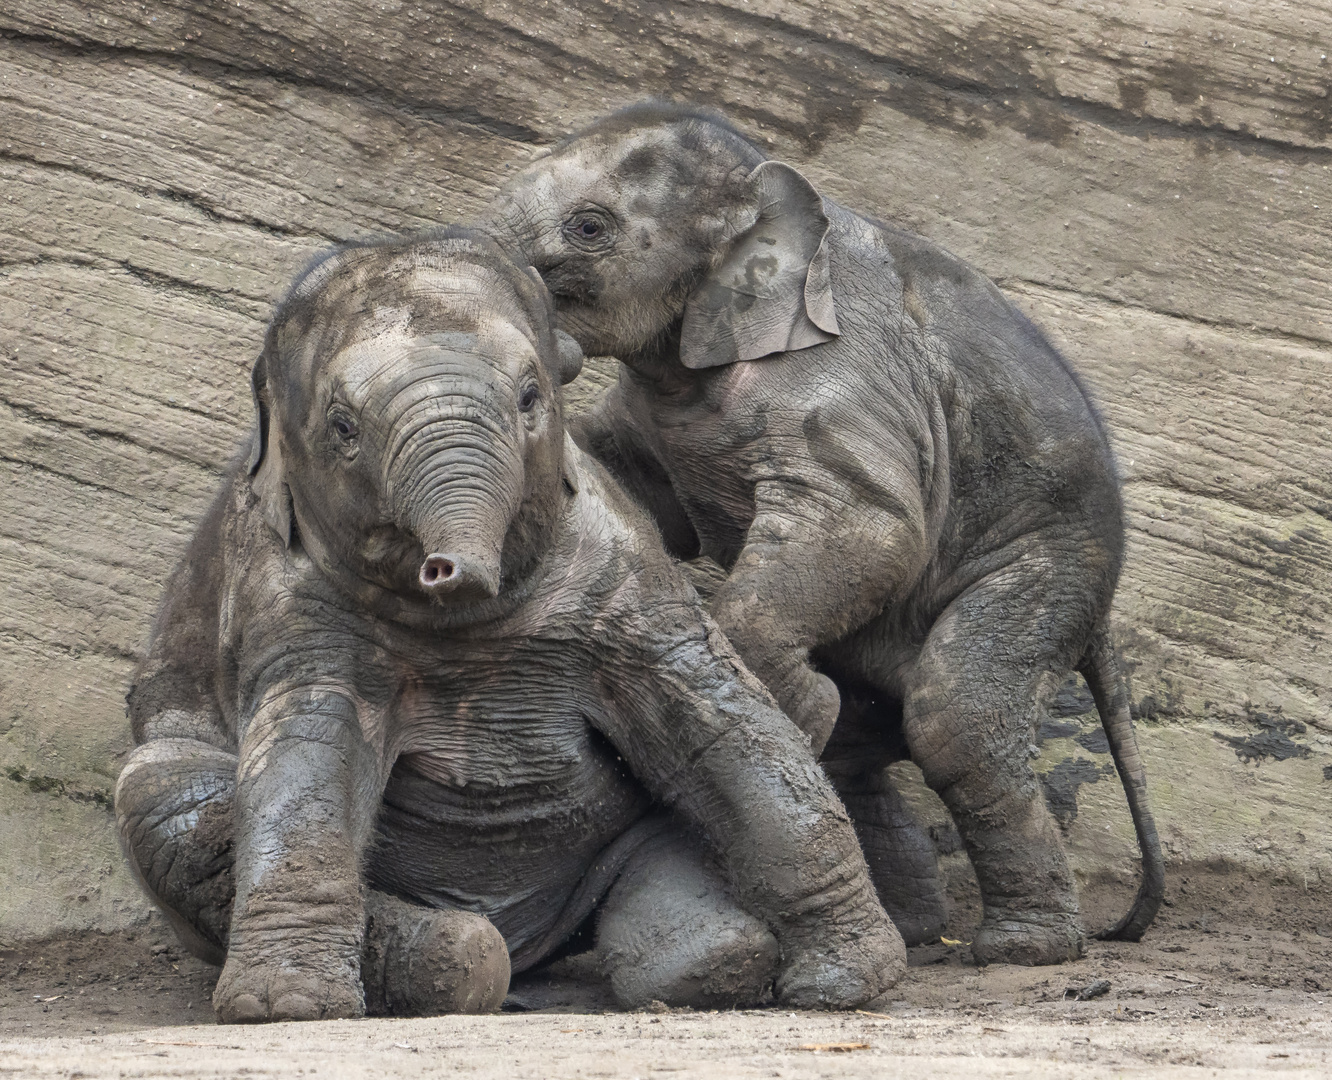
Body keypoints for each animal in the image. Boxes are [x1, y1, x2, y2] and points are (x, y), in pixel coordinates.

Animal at [117, 226, 905, 1022]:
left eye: (530, 397)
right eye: (342, 428)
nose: (448, 568)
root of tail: (537, 957)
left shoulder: (626, 569)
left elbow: (721, 724)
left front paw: (848, 984)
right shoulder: (286, 600)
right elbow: (310, 755)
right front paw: (284, 1006)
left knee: (705, 938)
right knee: (158, 791)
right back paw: (459, 958)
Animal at [490, 99, 1166, 964]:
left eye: (588, 226)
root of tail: (1107, 607)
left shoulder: (842, 381)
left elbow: (874, 524)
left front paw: (796, 704)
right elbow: (643, 495)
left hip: (1047, 561)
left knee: (955, 715)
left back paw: (1018, 949)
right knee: (868, 736)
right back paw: (912, 925)